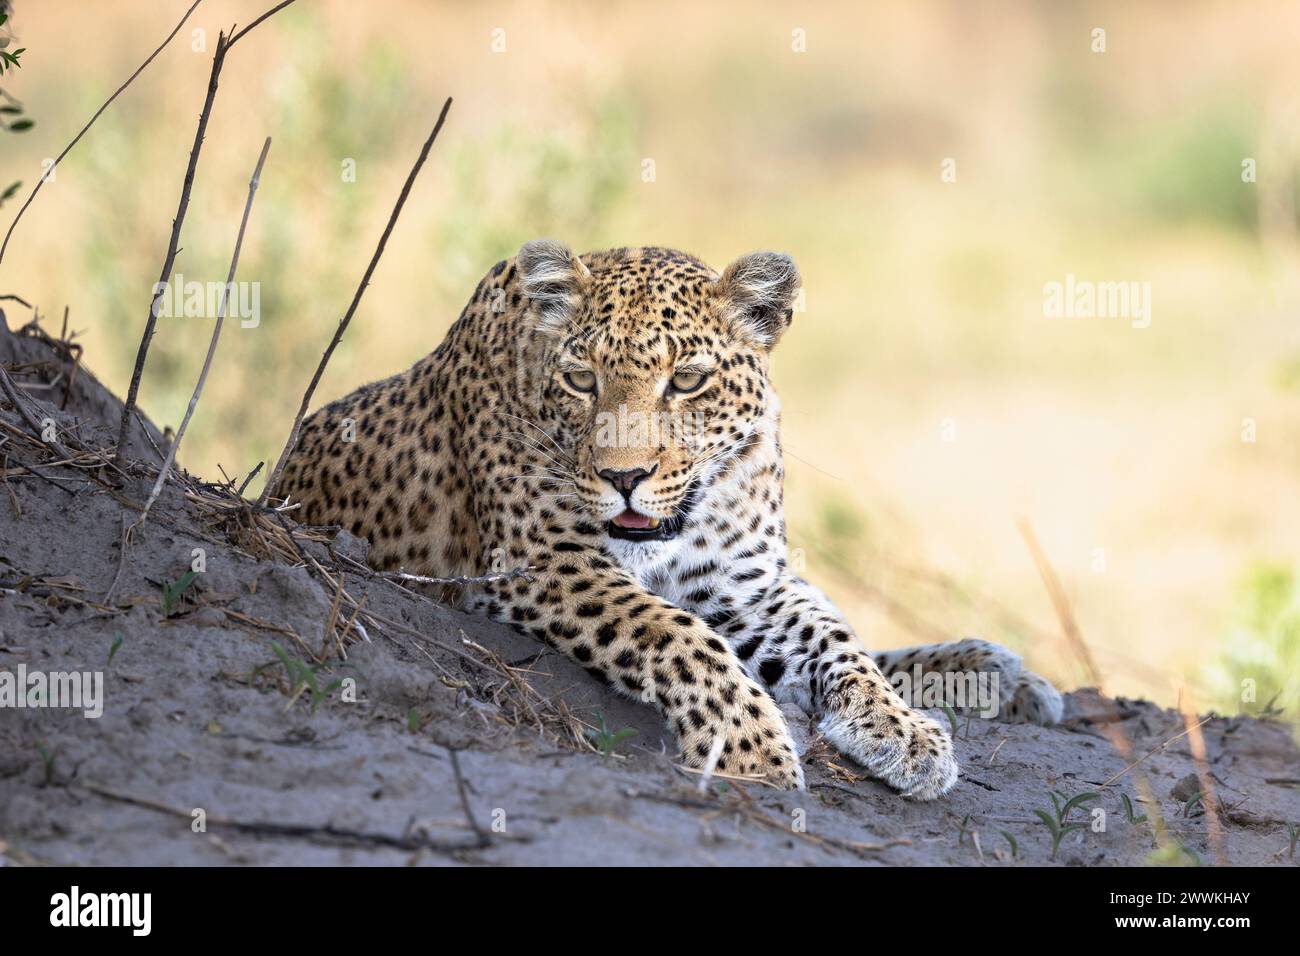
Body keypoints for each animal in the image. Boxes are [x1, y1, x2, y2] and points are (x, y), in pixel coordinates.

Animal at [273, 241, 1064, 798]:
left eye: (685, 381)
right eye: (581, 380)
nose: (623, 477)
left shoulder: (740, 581)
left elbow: (834, 637)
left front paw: (898, 730)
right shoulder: (547, 562)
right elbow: (679, 636)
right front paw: (753, 749)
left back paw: (994, 673)